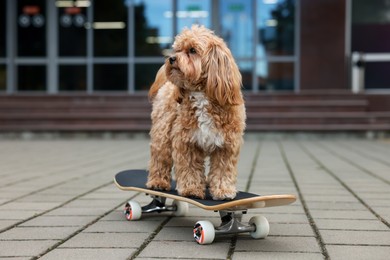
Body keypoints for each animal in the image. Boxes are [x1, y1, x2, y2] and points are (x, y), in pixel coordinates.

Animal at [146, 25, 247, 200]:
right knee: (160, 157)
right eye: (177, 49)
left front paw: (223, 190)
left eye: (192, 50)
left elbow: (222, 170)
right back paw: (157, 182)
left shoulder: (226, 145)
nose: (171, 58)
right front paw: (191, 189)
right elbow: (189, 167)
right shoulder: (186, 141)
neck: (202, 95)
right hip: (163, 132)